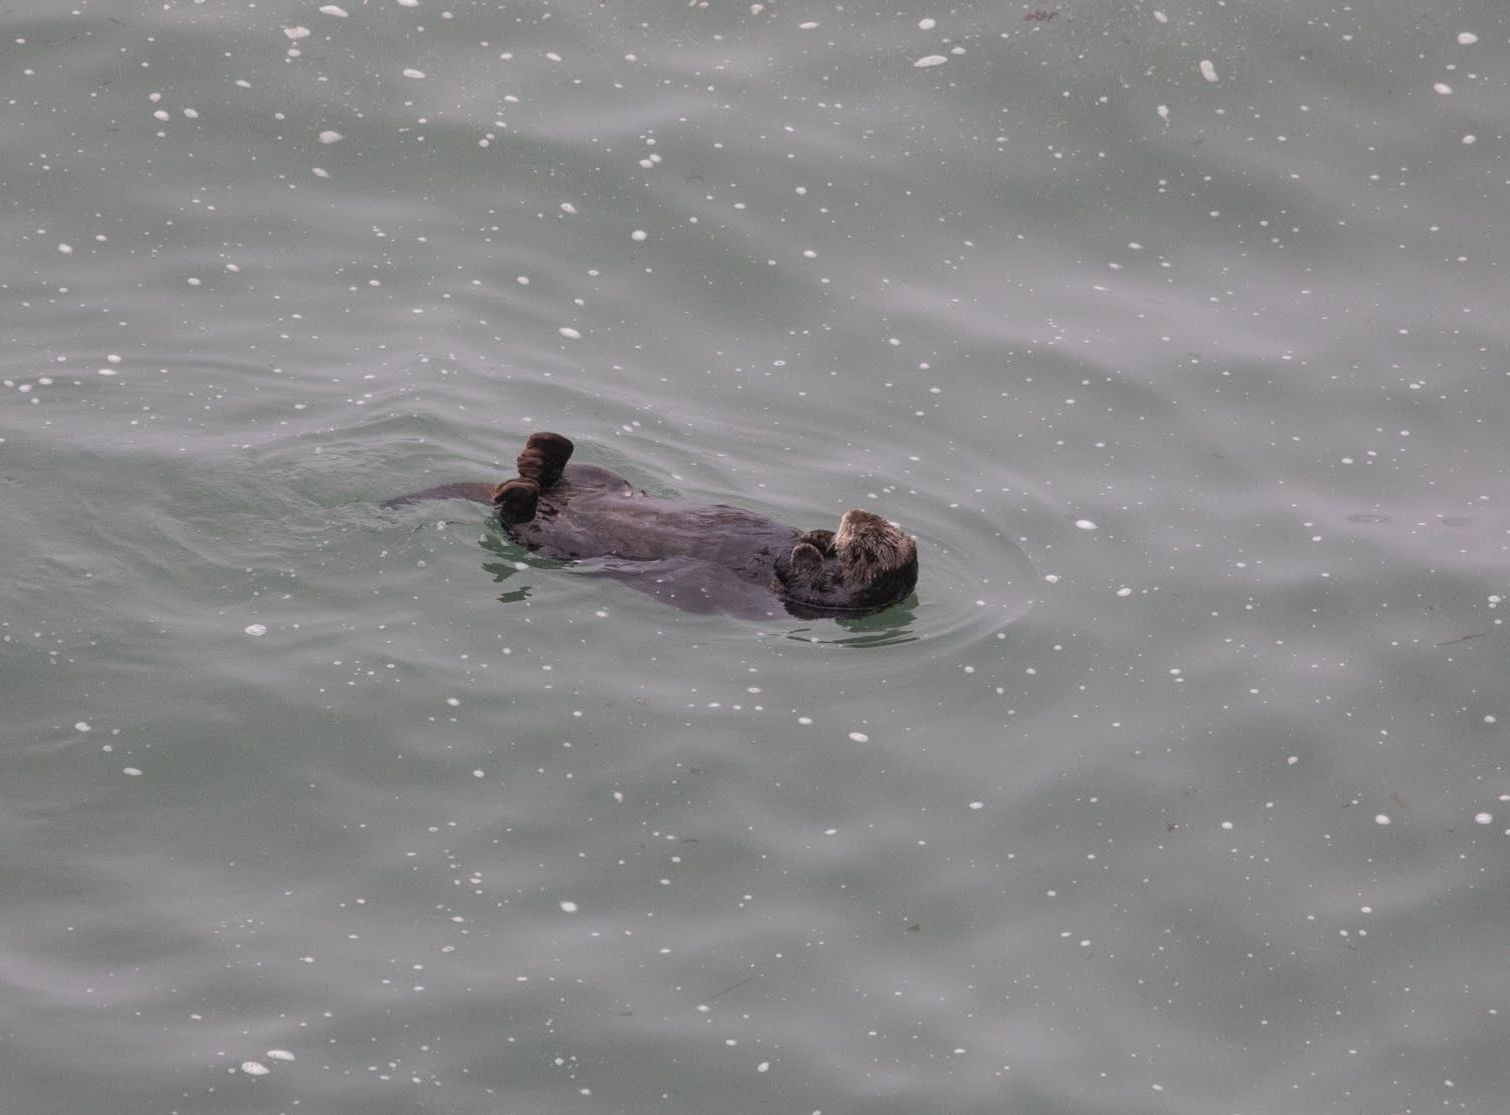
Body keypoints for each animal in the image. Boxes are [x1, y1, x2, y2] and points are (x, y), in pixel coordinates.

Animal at [382, 432, 918, 618]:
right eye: (872, 522)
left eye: (867, 536)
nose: (853, 514)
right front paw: (813, 536)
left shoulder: (824, 598)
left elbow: (797, 578)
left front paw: (805, 549)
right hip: (600, 477)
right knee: (561, 471)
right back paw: (541, 452)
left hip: (548, 537)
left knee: (518, 514)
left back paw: (518, 492)